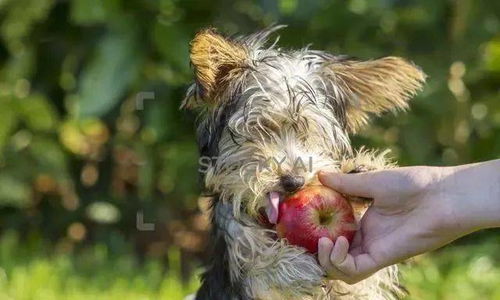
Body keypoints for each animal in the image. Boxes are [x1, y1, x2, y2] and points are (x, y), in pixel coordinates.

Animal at [184, 26, 426, 300]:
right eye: (260, 129)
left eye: (310, 133)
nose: (294, 181)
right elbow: (256, 267)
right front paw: (290, 264)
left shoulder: (361, 286)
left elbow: (362, 283)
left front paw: (362, 172)